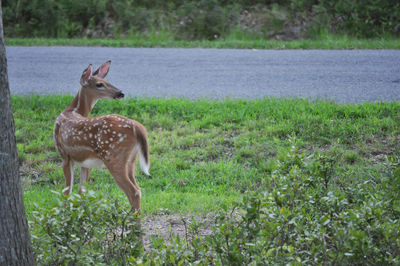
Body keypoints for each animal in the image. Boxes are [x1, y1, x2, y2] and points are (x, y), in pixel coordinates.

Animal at [53, 59, 150, 212]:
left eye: (106, 80)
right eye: (100, 83)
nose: (120, 93)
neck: (72, 111)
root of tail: (138, 127)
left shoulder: (64, 155)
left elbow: (67, 191)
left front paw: (65, 214)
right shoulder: (84, 162)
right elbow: (82, 190)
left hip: (114, 157)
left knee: (133, 191)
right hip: (131, 160)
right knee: (138, 188)